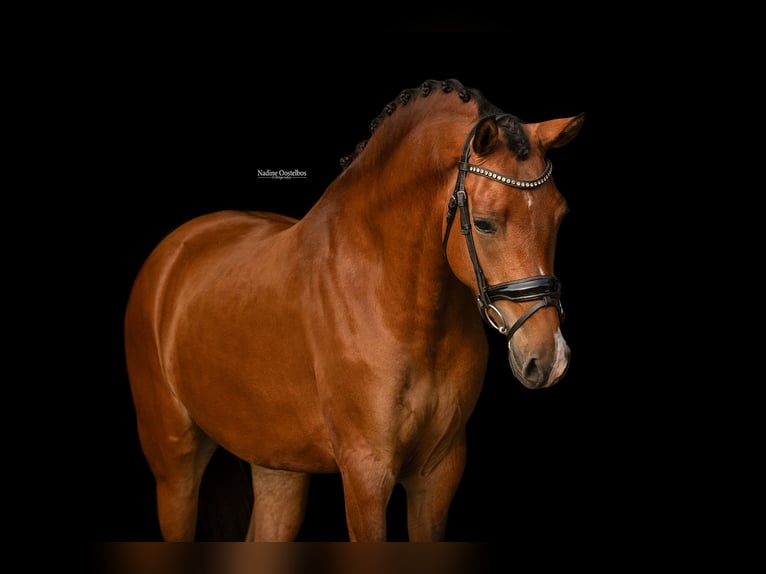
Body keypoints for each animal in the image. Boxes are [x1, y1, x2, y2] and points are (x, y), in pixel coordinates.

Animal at [124, 78, 585, 542]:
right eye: (486, 223)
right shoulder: (366, 474)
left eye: (561, 217)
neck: (395, 304)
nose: (551, 359)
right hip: (174, 466)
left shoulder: (438, 474)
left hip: (278, 468)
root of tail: (175, 251)